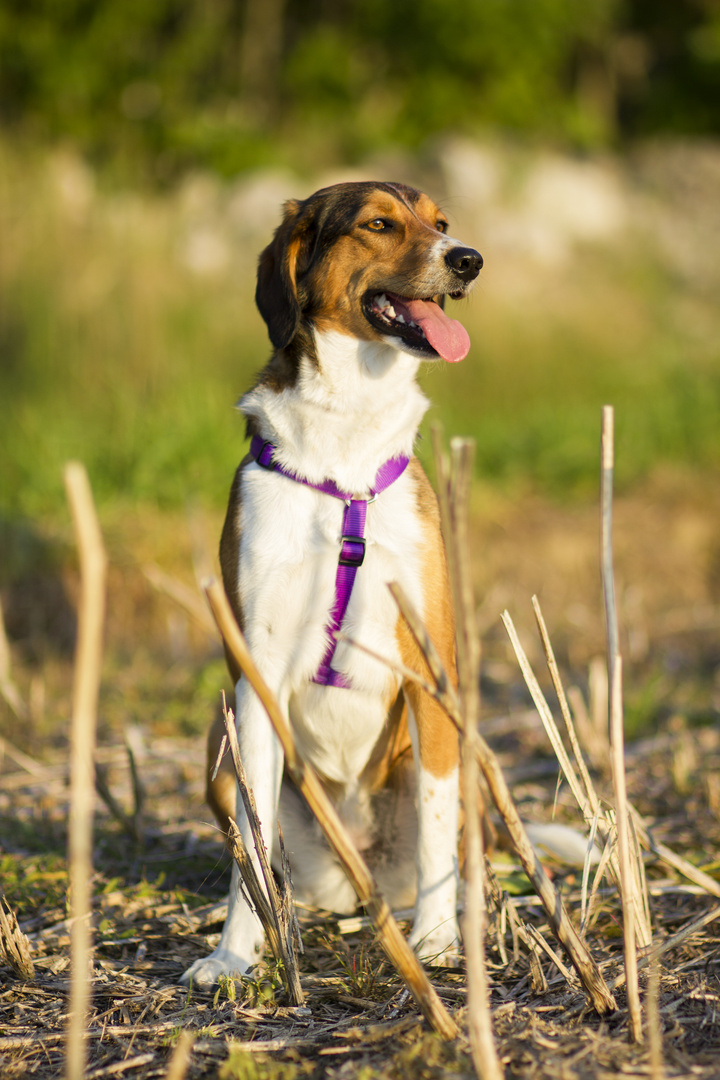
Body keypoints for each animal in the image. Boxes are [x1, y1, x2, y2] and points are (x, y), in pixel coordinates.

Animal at [180, 183, 483, 989]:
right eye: (379, 224)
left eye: (441, 223)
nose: (468, 258)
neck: (346, 428)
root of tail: (359, 869)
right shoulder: (256, 677)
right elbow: (251, 855)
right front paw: (235, 955)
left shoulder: (429, 668)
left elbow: (437, 835)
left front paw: (437, 943)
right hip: (220, 750)